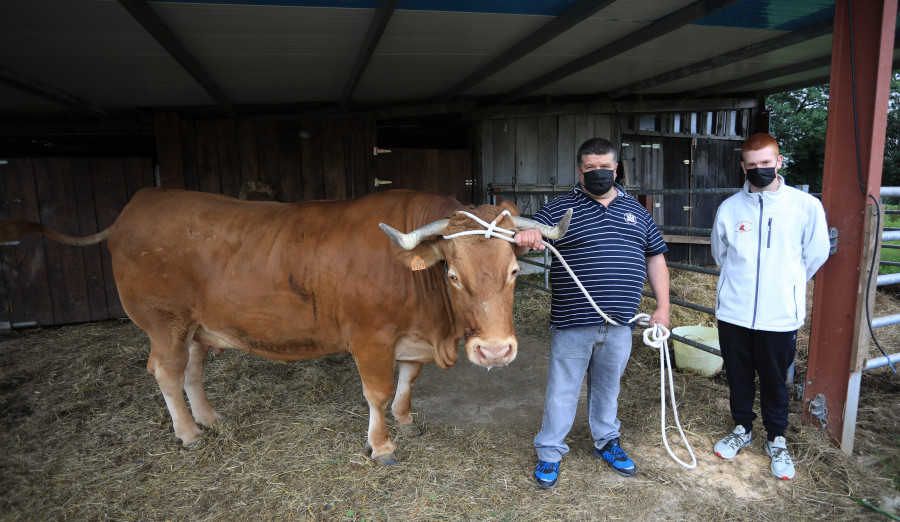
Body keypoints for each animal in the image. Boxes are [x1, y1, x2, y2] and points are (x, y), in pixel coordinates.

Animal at [1, 188, 568, 464]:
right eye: (452, 273)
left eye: (514, 271)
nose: (494, 352)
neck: (435, 325)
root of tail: (137, 205)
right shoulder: (370, 338)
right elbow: (379, 391)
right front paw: (382, 446)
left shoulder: (409, 339)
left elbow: (408, 380)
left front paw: (406, 420)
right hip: (164, 322)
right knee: (164, 371)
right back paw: (188, 434)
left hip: (198, 327)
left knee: (190, 372)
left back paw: (211, 419)